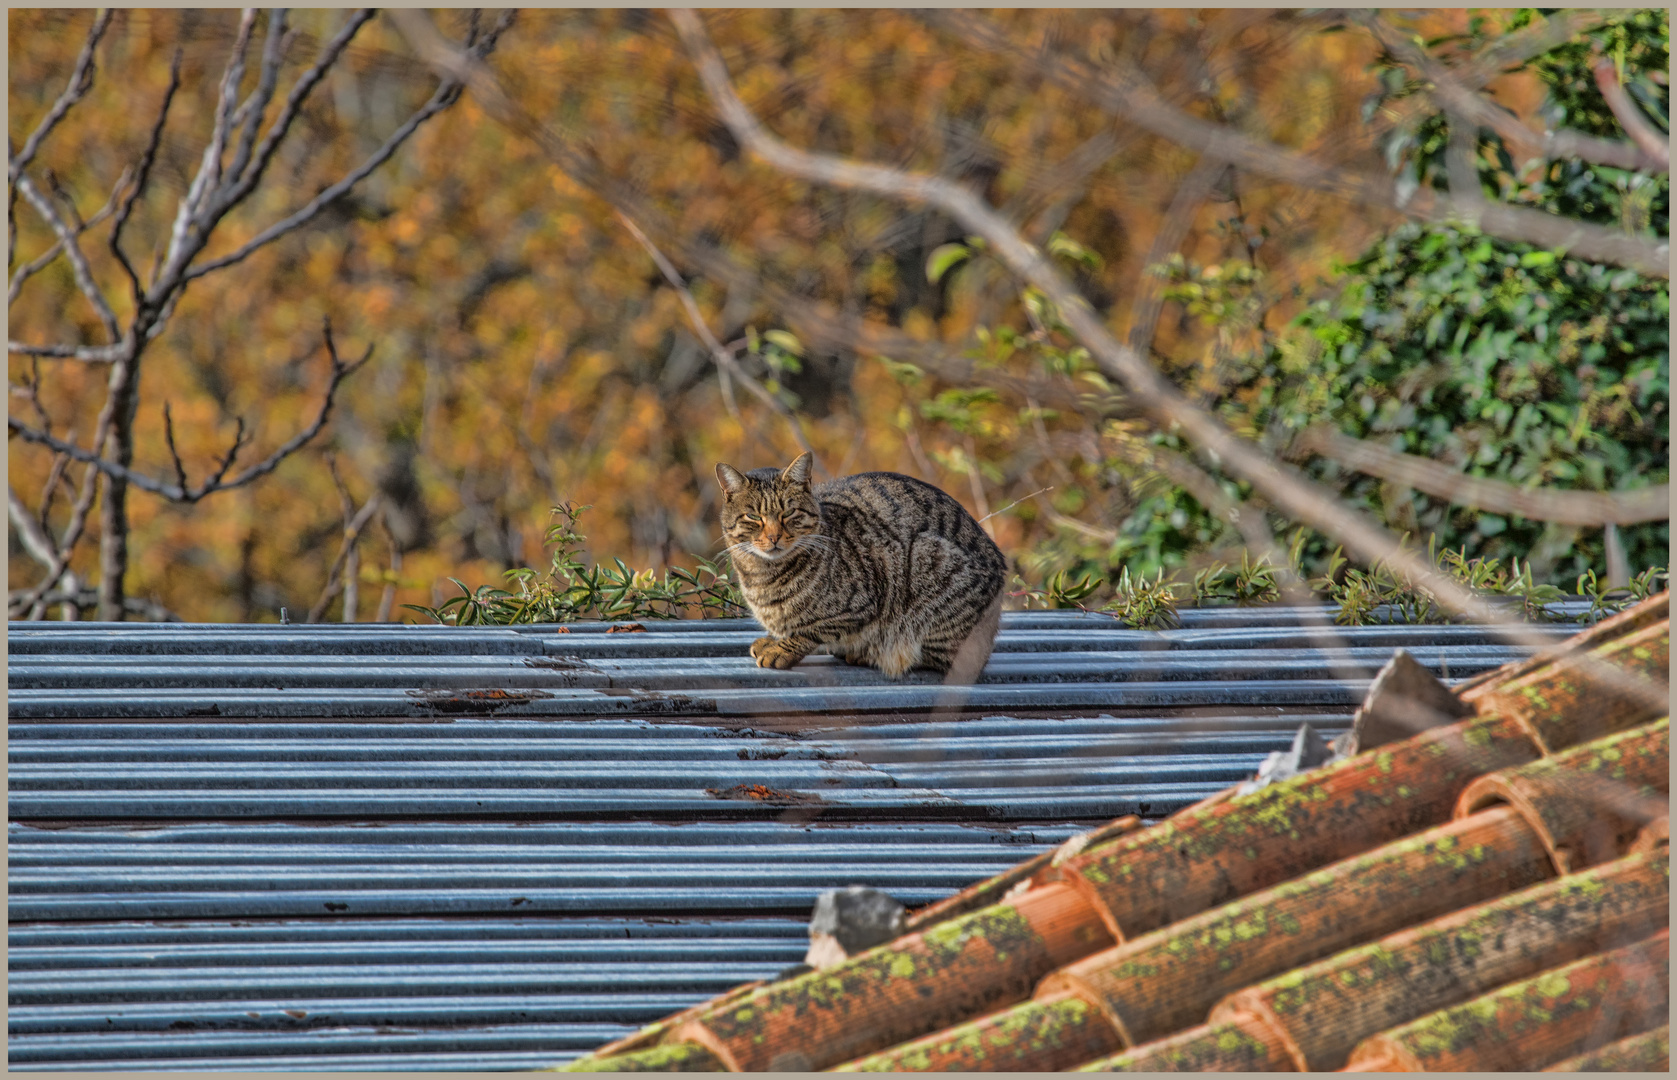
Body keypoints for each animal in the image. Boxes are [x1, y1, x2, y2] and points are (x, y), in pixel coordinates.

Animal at [711, 452, 999, 680]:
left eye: (789, 513)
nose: (773, 537)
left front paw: (782, 649)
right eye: (753, 516)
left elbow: (811, 631)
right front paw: (774, 640)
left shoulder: (862, 602)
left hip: (929, 561)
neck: (763, 575)